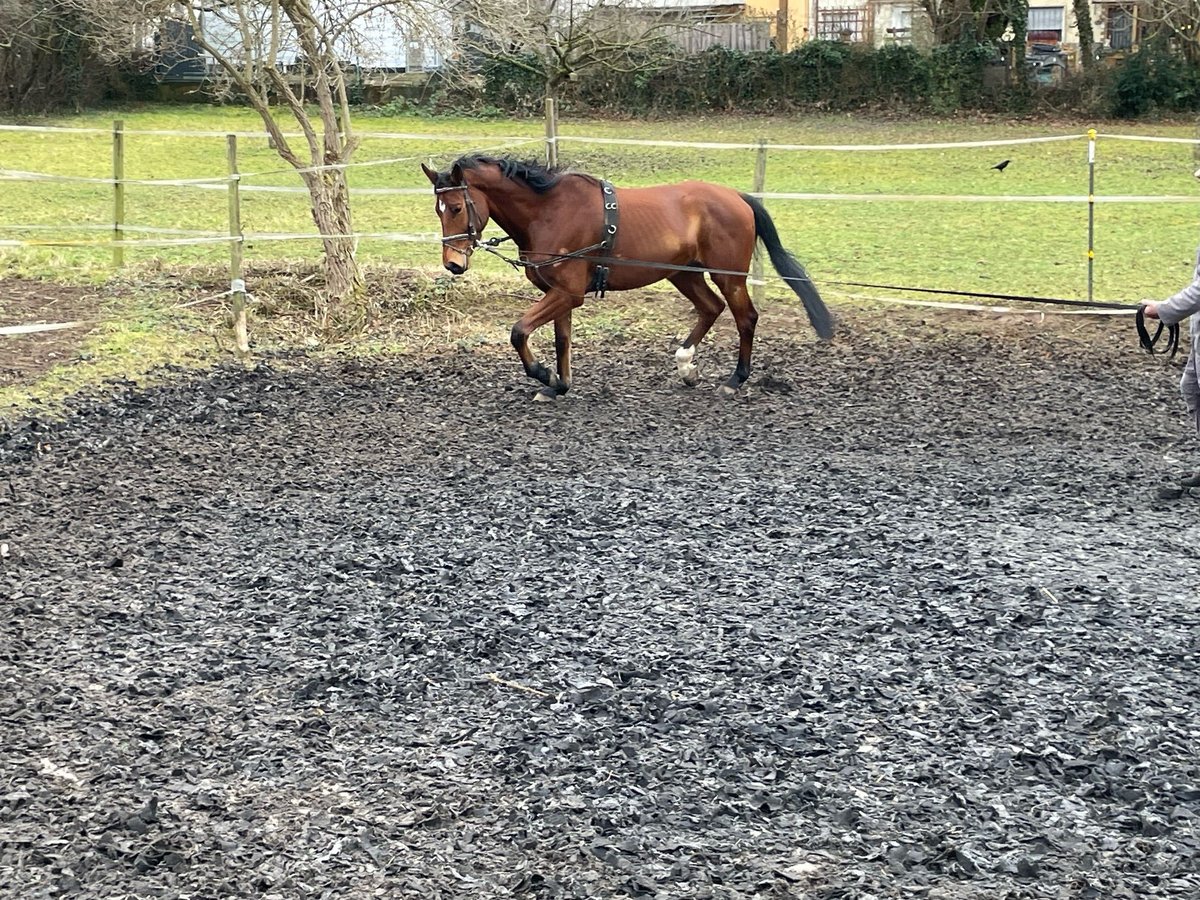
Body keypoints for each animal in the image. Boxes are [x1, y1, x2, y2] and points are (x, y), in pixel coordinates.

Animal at [424, 154, 835, 400]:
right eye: (438, 209)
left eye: (457, 207)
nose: (453, 264)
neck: (549, 211)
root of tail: (737, 196)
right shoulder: (558, 293)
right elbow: (561, 340)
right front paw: (559, 385)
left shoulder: (567, 293)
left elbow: (519, 332)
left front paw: (543, 376)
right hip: (683, 274)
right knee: (711, 308)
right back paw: (686, 365)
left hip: (727, 275)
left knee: (745, 317)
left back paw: (735, 380)